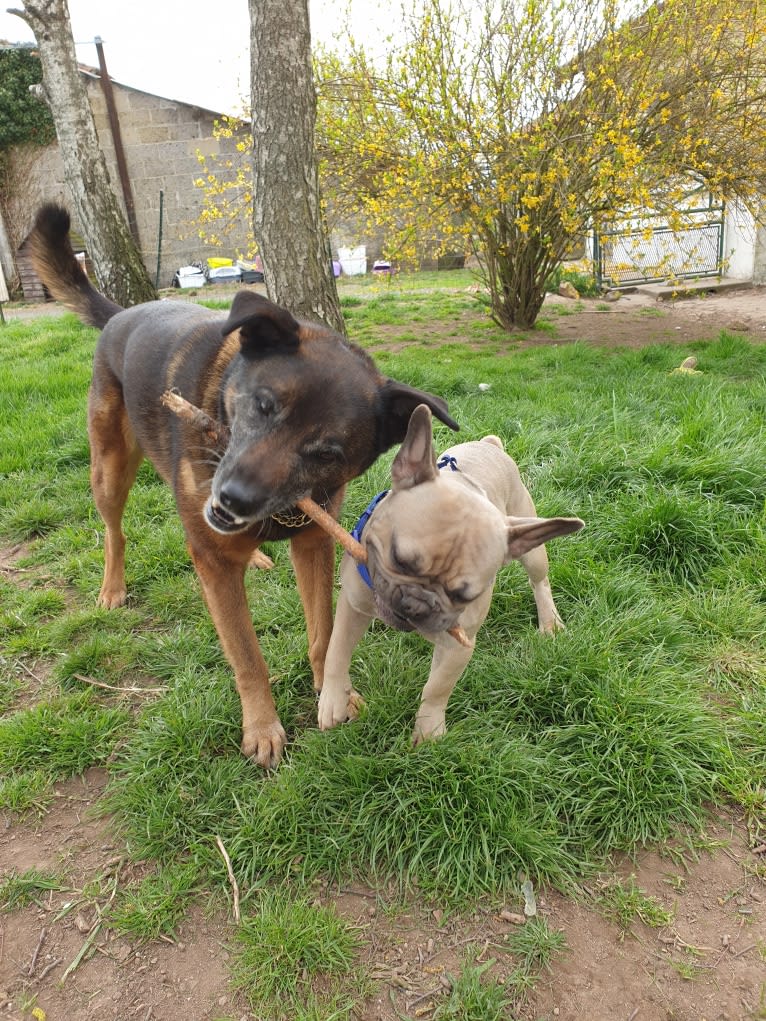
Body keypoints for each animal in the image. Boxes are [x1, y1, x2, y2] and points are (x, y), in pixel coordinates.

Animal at [30, 205, 459, 767]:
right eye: (263, 404)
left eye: (326, 453)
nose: (234, 499)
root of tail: (123, 314)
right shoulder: (214, 560)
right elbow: (247, 655)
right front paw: (262, 728)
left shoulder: (314, 543)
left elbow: (323, 634)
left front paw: (333, 692)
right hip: (109, 467)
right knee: (114, 530)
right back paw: (113, 586)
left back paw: (252, 553)